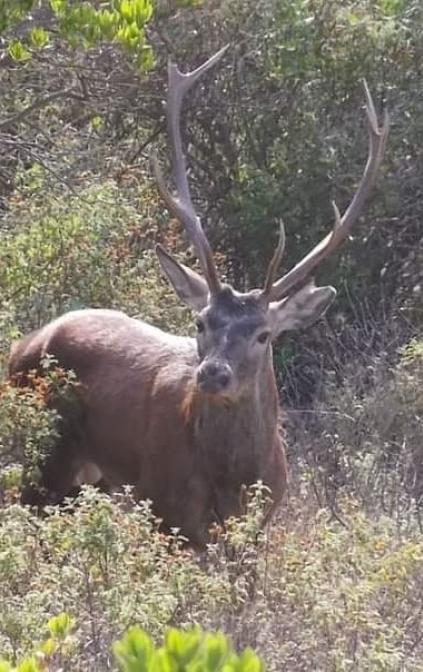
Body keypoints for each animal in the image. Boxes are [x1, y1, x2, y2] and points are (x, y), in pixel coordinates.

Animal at [7, 47, 390, 548]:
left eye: (264, 335)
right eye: (200, 321)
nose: (212, 374)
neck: (233, 482)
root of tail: (20, 344)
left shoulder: (260, 525)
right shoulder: (165, 510)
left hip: (95, 479)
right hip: (42, 456)